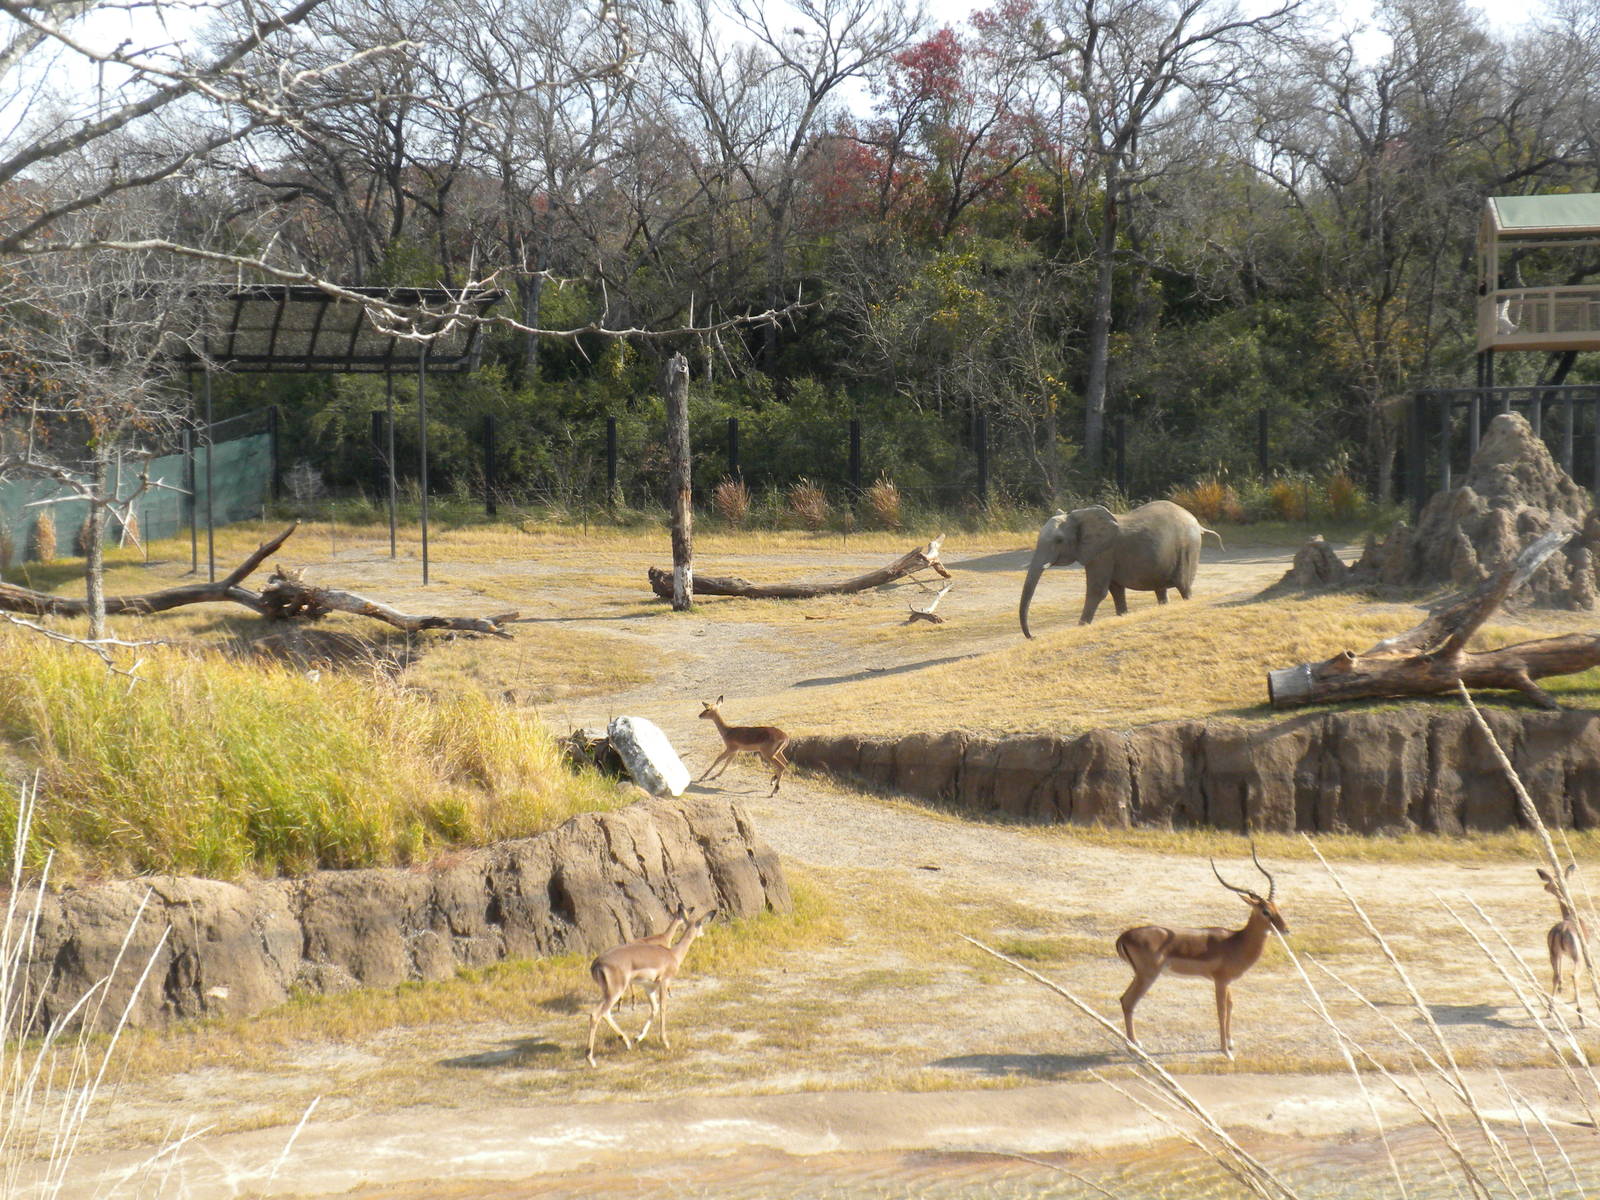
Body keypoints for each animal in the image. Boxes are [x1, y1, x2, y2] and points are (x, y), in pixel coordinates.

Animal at [587, 908, 713, 1067]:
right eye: (700, 924)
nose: (703, 934)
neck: (673, 954)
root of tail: (597, 963)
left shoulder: (649, 987)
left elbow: (654, 1009)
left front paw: (638, 1037)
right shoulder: (664, 982)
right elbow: (663, 1008)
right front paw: (665, 1042)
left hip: (609, 993)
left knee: (605, 1013)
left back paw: (627, 1043)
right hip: (615, 992)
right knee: (596, 1014)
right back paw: (591, 1059)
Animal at [1019, 500, 1221, 637]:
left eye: (1059, 540)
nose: (1033, 637)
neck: (1080, 516)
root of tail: (1198, 524)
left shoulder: (1103, 552)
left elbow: (1097, 591)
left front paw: (1081, 627)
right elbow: (1115, 590)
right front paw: (1122, 616)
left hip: (1187, 549)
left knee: (1184, 586)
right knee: (1161, 590)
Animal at [1114, 845, 1288, 1059]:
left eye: (1276, 907)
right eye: (1265, 911)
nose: (1285, 929)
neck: (1236, 942)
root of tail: (1124, 936)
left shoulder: (1227, 982)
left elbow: (1230, 1005)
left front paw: (1230, 1043)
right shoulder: (1220, 981)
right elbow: (1221, 1011)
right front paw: (1226, 1052)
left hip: (1140, 975)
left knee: (1124, 1000)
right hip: (1147, 976)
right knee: (1128, 1001)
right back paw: (1134, 1047)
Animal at [1539, 863, 1589, 1025]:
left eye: (1553, 880)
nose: (1545, 886)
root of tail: (1562, 930)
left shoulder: (1561, 955)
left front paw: (1561, 989)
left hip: (1553, 953)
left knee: (1555, 975)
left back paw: (1549, 1011)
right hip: (1577, 957)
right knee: (1574, 975)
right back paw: (1581, 1016)